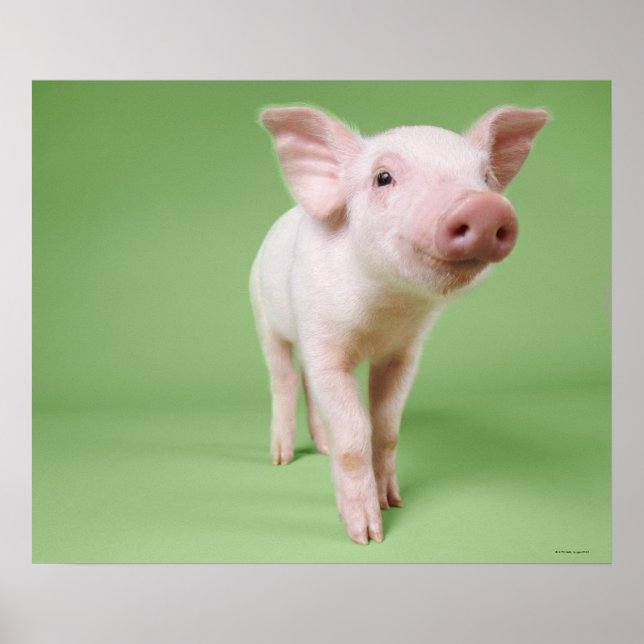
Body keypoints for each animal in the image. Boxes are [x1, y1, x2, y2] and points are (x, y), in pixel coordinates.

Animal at [250, 104, 548, 544]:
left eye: (486, 177)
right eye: (383, 177)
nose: (483, 206)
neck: (386, 311)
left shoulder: (404, 353)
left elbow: (387, 427)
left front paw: (394, 503)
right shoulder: (324, 341)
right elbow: (354, 433)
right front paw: (367, 535)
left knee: (305, 384)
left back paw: (321, 449)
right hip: (264, 316)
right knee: (283, 380)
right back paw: (282, 459)